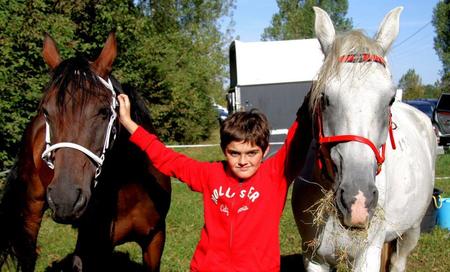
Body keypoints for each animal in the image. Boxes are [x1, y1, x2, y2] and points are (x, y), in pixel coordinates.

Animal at [0, 33, 171, 270]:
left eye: (104, 111)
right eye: (46, 111)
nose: (65, 199)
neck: (131, 188)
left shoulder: (155, 239)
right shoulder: (92, 246)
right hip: (32, 208)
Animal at [292, 6, 436, 272]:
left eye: (390, 99)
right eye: (324, 97)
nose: (357, 201)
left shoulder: (367, 256)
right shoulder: (314, 258)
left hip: (411, 231)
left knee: (398, 261)